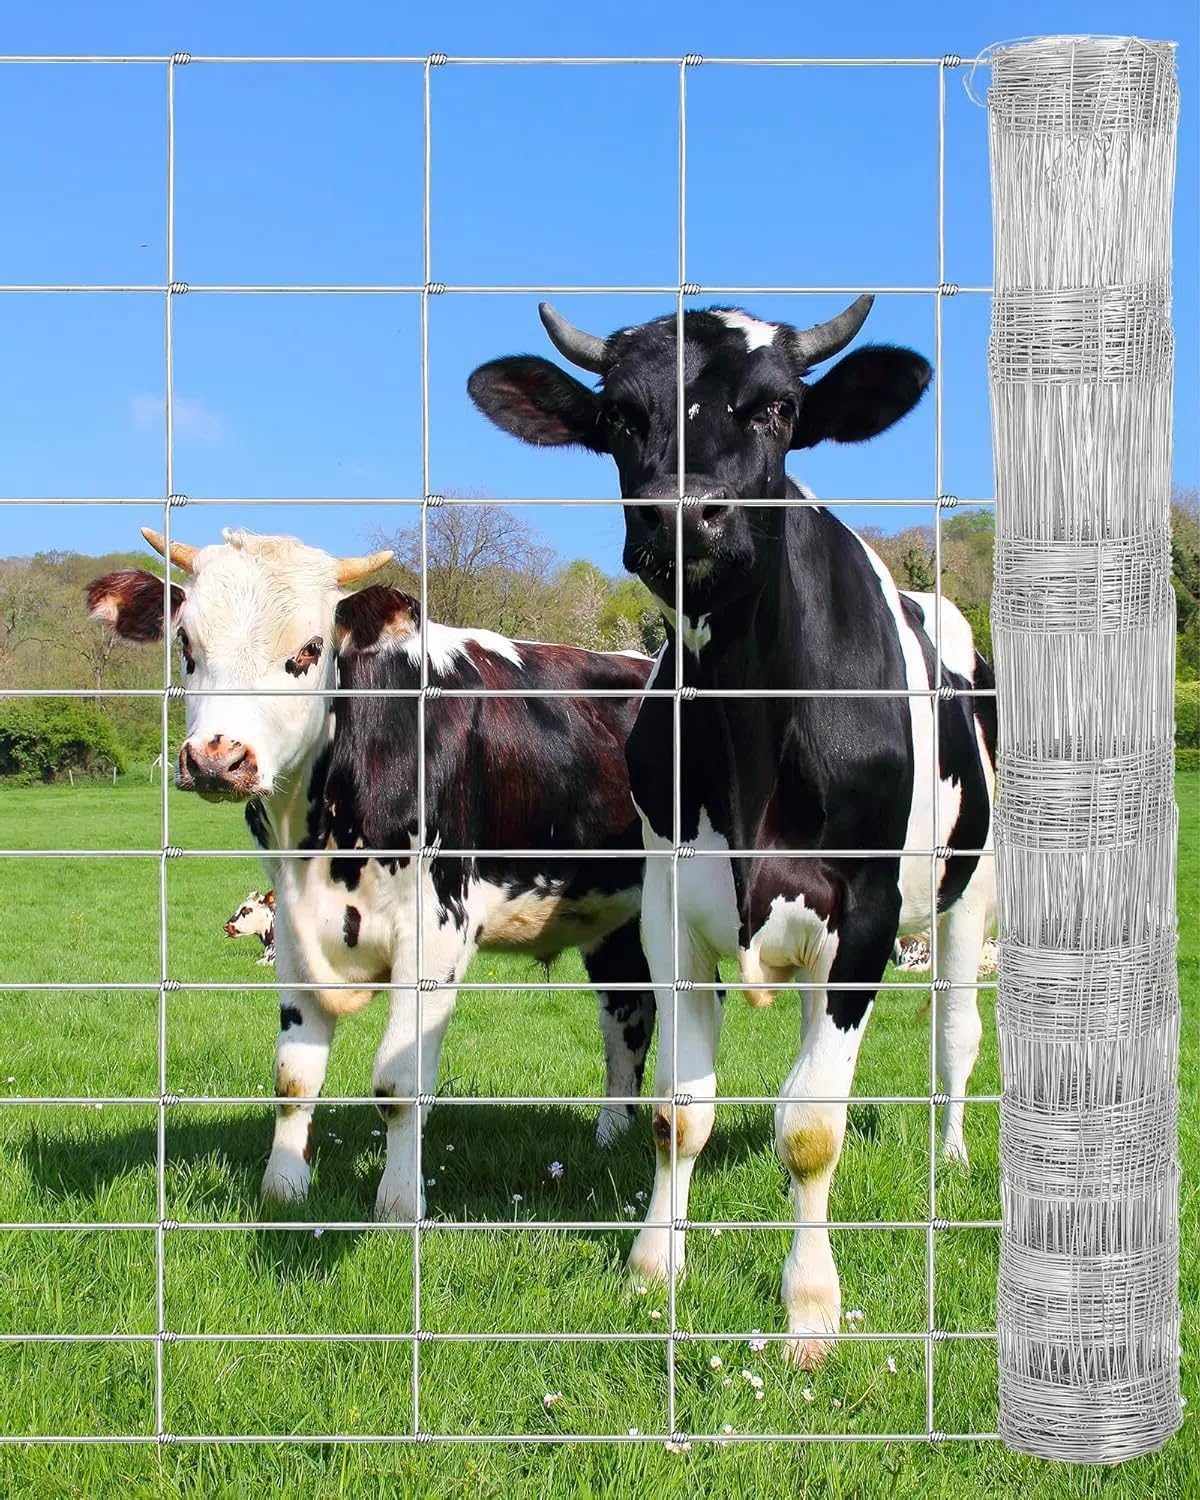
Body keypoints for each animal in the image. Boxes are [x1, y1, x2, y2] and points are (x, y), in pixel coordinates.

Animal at [86, 529, 657, 1220]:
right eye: (186, 645)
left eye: (310, 648)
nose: (217, 760)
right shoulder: (293, 931)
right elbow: (293, 1076)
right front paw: (284, 1188)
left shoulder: (437, 929)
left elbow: (398, 1083)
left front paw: (398, 1203)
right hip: (616, 919)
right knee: (628, 1017)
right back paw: (610, 1139)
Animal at [468, 295, 997, 1365]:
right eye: (619, 416)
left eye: (780, 408)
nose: (684, 514)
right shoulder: (670, 907)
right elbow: (680, 1110)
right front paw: (652, 1267)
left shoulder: (866, 914)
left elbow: (813, 1129)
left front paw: (810, 1310)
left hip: (974, 887)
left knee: (955, 1036)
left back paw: (955, 1153)